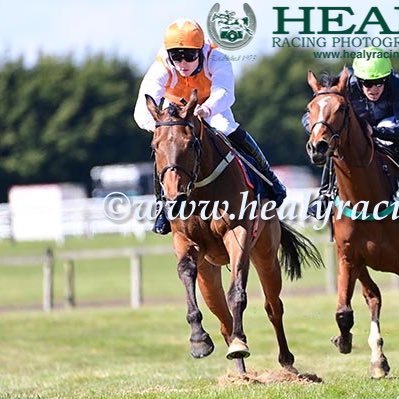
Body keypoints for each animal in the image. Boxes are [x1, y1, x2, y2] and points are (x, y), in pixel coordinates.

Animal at [145, 90, 324, 376]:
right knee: (222, 317)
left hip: (266, 255)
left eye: (192, 144)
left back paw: (285, 361)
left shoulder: (238, 233)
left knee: (273, 306)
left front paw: (240, 342)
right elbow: (185, 271)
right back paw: (239, 372)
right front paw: (199, 341)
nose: (175, 199)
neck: (202, 191)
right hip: (208, 272)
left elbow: (237, 293)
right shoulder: (184, 240)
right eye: (155, 147)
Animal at [306, 67, 399, 380]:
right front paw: (344, 341)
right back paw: (378, 360)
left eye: (342, 108)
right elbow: (344, 311)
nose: (318, 146)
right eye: (309, 108)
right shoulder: (348, 256)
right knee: (373, 296)